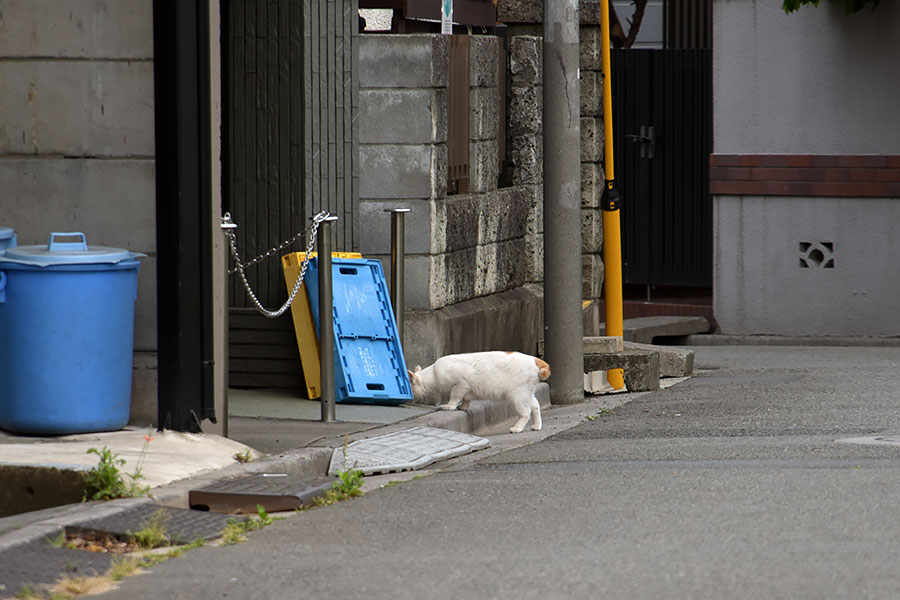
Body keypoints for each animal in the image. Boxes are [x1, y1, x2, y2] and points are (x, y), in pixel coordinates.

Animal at [406, 350, 548, 434]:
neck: (434, 374)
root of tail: (536, 360)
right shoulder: (468, 388)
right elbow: (466, 398)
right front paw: (463, 407)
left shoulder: (461, 383)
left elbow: (455, 396)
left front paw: (449, 406)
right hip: (526, 392)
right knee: (536, 405)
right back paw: (537, 426)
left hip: (518, 394)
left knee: (526, 412)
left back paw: (517, 428)